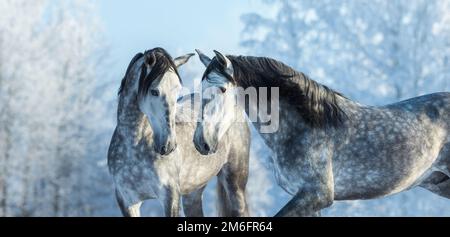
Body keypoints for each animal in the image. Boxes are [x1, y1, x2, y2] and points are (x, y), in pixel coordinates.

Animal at [107, 48, 251, 217]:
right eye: (154, 91)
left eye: (177, 92)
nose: (168, 145)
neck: (133, 146)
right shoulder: (127, 200)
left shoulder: (170, 196)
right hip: (192, 193)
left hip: (235, 182)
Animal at [195, 50, 450, 217]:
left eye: (222, 89)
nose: (200, 142)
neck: (305, 126)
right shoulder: (306, 198)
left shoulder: (317, 195)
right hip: (439, 184)